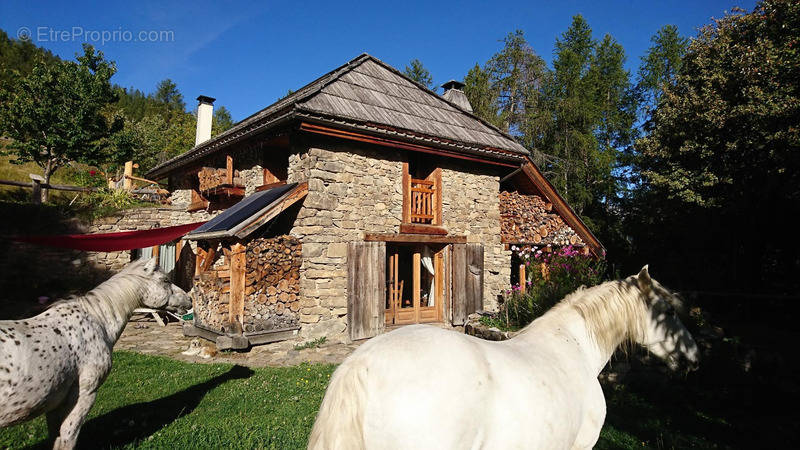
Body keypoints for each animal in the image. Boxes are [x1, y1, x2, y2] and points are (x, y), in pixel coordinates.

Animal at [0, 258, 189, 450]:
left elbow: (56, 438)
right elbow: (68, 437)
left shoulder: (56, 402)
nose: (188, 299)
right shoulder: (84, 395)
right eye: (165, 280)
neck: (95, 321)